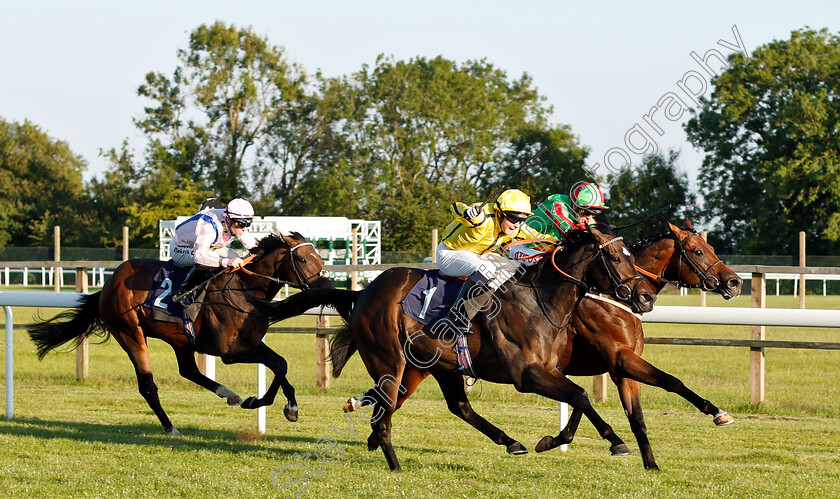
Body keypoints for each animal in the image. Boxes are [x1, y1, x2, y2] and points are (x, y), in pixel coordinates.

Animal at [27, 232, 328, 436]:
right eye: (303, 259)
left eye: (320, 258)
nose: (326, 288)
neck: (244, 288)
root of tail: (110, 283)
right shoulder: (230, 351)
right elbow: (276, 363)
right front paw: (273, 404)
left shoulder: (251, 342)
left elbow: (280, 363)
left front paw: (278, 404)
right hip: (130, 333)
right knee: (148, 385)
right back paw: (170, 427)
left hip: (180, 338)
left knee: (188, 370)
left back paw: (228, 394)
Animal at [260, 225, 660, 470]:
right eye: (616, 258)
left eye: (630, 254)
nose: (646, 296)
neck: (540, 300)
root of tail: (363, 293)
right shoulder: (526, 374)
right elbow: (580, 396)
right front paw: (615, 441)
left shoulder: (551, 369)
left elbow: (578, 398)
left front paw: (555, 439)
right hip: (391, 361)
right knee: (386, 410)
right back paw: (393, 461)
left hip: (435, 366)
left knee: (453, 406)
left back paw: (508, 441)